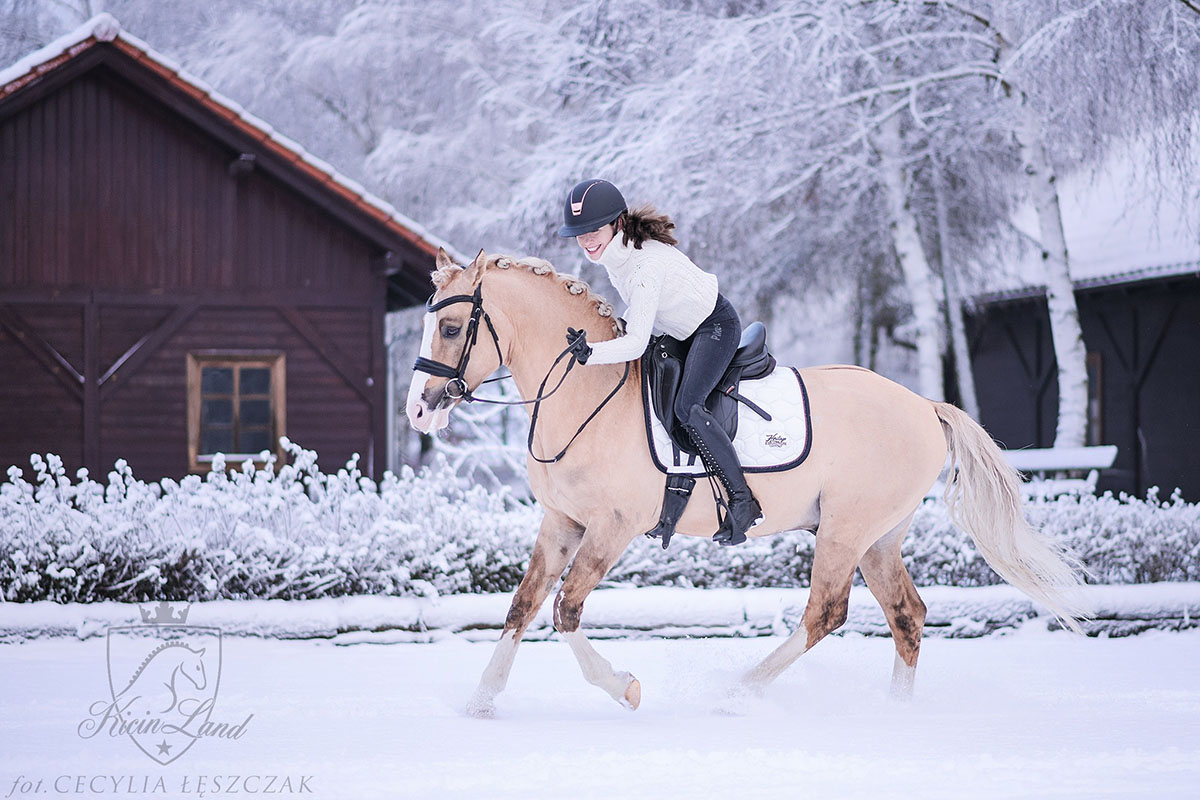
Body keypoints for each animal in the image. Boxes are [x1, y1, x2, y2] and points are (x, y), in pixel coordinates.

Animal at [408, 248, 1094, 714]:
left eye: (451, 329)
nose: (419, 410)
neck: (584, 393)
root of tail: (924, 405)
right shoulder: (562, 523)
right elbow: (523, 606)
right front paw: (482, 700)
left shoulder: (611, 528)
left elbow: (567, 611)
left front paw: (625, 688)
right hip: (878, 538)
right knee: (907, 615)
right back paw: (894, 712)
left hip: (844, 532)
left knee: (826, 613)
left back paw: (735, 691)